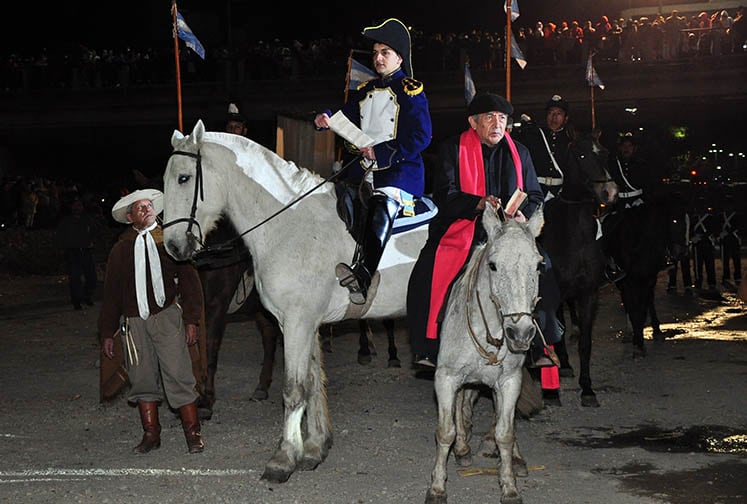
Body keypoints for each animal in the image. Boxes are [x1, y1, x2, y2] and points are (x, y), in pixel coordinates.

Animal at [164, 120, 432, 482]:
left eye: (183, 178)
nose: (173, 247)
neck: (289, 223)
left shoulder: (297, 322)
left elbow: (293, 389)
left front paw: (283, 458)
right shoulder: (302, 323)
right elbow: (312, 383)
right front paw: (316, 448)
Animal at [426, 206, 544, 504]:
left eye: (538, 265)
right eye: (493, 265)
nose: (520, 333)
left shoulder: (509, 381)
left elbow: (505, 432)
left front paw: (509, 486)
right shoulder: (446, 378)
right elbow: (445, 431)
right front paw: (437, 487)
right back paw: (462, 449)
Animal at [540, 132, 616, 408]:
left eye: (605, 153)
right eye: (581, 155)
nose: (610, 192)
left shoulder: (588, 293)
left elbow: (585, 342)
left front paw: (588, 389)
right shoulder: (553, 294)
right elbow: (554, 334)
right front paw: (552, 391)